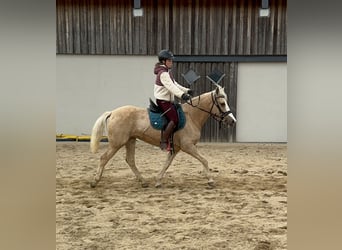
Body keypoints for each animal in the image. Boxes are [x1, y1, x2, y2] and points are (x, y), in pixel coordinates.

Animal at [89, 84, 236, 188]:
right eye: (222, 103)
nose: (232, 121)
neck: (191, 116)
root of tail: (113, 112)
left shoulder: (176, 149)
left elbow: (167, 164)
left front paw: (158, 181)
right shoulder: (188, 146)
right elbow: (204, 160)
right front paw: (210, 180)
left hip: (130, 141)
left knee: (130, 160)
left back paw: (143, 181)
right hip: (117, 143)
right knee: (104, 158)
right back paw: (95, 181)